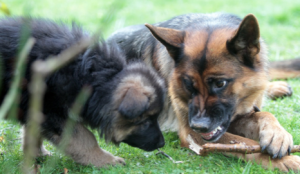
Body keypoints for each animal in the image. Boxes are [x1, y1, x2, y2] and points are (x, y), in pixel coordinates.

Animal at [0, 17, 165, 167]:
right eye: (146, 121)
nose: (162, 144)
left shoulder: (37, 109)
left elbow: (33, 133)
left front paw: (37, 155)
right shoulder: (53, 113)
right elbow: (85, 138)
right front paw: (106, 160)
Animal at [109, 12, 300, 172]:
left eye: (220, 83)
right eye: (188, 84)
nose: (198, 126)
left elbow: (263, 115)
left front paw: (277, 134)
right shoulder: (191, 133)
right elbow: (243, 143)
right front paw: (287, 161)